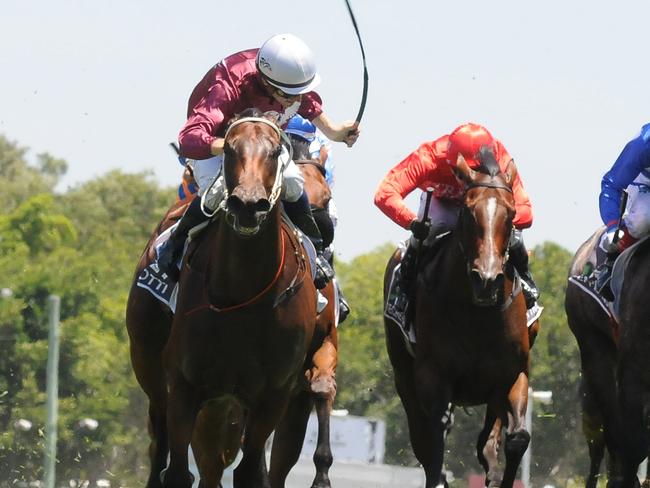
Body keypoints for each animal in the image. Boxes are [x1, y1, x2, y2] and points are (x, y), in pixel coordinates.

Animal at [382, 152, 528, 488]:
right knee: (422, 438)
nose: (486, 280)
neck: (478, 314)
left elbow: (518, 438)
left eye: (511, 213)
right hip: (403, 377)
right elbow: (438, 431)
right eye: (468, 211)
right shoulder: (433, 375)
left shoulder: (514, 373)